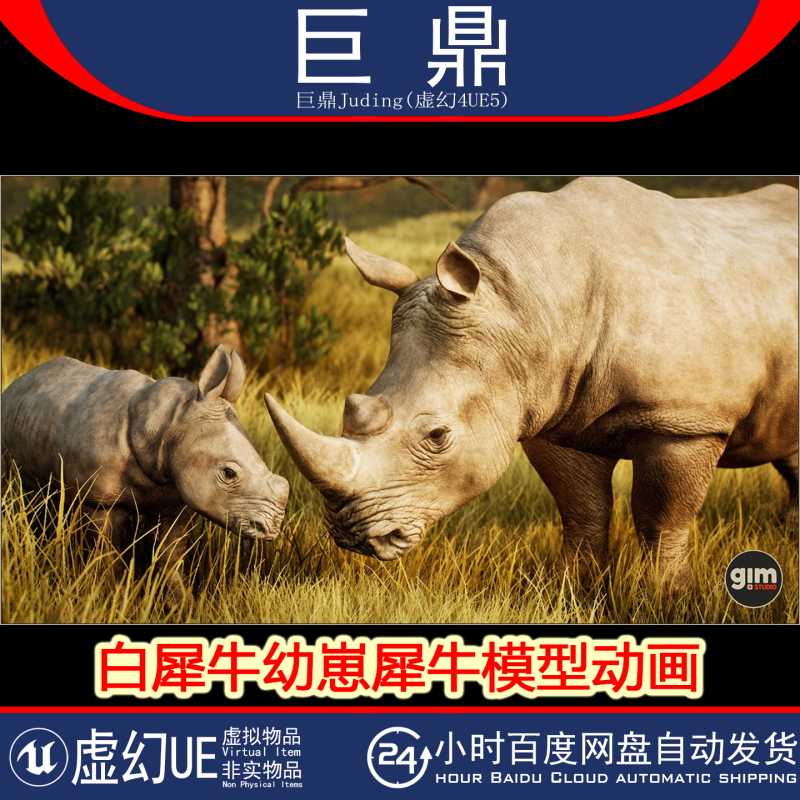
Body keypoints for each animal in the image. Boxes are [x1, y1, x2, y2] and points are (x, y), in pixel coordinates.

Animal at [2, 345, 290, 604]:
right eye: (229, 473)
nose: (272, 528)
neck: (170, 423)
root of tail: (19, 381)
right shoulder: (101, 502)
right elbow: (108, 558)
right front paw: (116, 603)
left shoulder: (176, 498)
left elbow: (169, 558)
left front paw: (181, 607)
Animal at [265, 177, 798, 590]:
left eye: (437, 436)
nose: (353, 536)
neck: (521, 304)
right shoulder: (553, 416)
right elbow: (582, 508)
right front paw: (573, 590)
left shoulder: (685, 421)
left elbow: (662, 520)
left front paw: (667, 597)